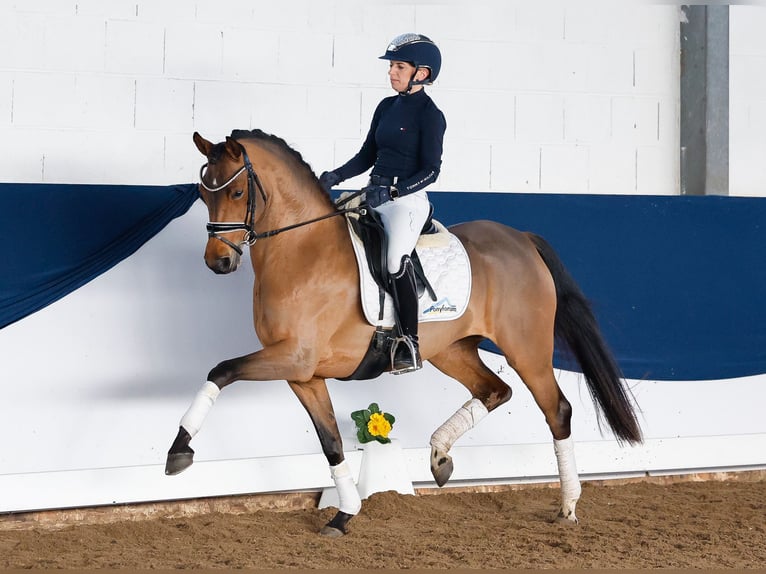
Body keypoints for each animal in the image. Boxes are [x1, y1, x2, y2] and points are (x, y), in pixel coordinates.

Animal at [165, 128, 644, 536]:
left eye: (237, 192)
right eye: (202, 194)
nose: (218, 262)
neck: (302, 251)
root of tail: (521, 239)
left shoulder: (294, 356)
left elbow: (221, 370)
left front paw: (179, 452)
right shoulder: (303, 373)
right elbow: (331, 442)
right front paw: (344, 514)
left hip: (527, 349)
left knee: (556, 410)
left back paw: (568, 507)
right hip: (451, 350)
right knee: (494, 391)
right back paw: (439, 456)